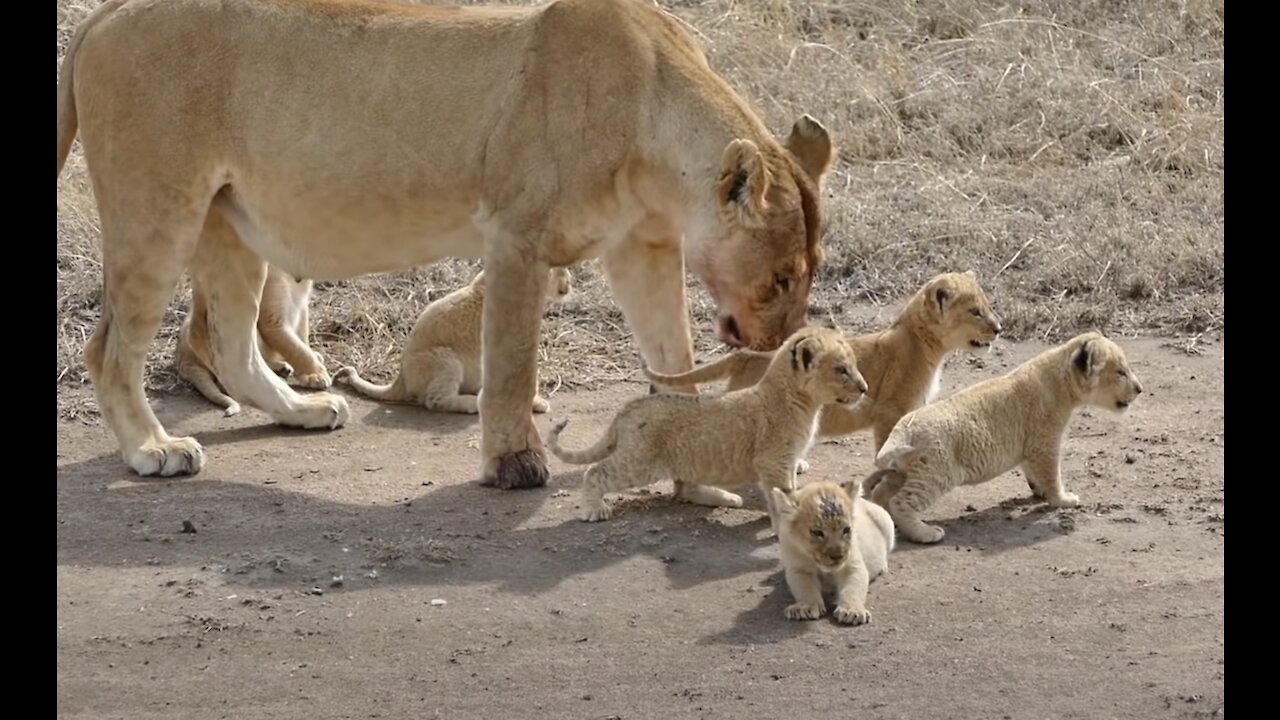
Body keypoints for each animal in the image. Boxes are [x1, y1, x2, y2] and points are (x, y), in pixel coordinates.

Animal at [55, 0, 834, 486]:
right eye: (782, 277)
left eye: (811, 272)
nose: (782, 342)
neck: (655, 123)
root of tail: (108, 12)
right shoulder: (517, 236)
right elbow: (513, 366)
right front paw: (514, 465)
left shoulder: (640, 248)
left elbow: (672, 352)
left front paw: (695, 435)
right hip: (157, 208)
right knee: (110, 349)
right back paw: (153, 449)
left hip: (228, 220)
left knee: (233, 343)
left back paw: (304, 409)